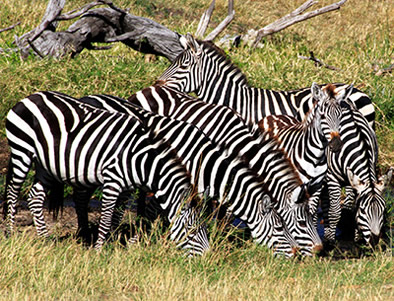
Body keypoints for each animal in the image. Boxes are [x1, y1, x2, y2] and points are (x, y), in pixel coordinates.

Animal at [3, 91, 209, 253]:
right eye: (192, 230)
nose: (206, 258)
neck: (140, 159)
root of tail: (30, 97)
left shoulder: (127, 186)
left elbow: (118, 214)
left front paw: (112, 242)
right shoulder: (112, 181)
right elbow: (107, 217)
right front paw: (99, 250)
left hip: (45, 164)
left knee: (35, 197)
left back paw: (46, 239)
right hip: (22, 150)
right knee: (13, 193)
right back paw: (9, 235)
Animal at [78, 92, 322, 254]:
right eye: (300, 223)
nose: (319, 251)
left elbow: (222, 212)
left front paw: (221, 237)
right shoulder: (173, 182)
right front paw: (146, 240)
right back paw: (86, 234)